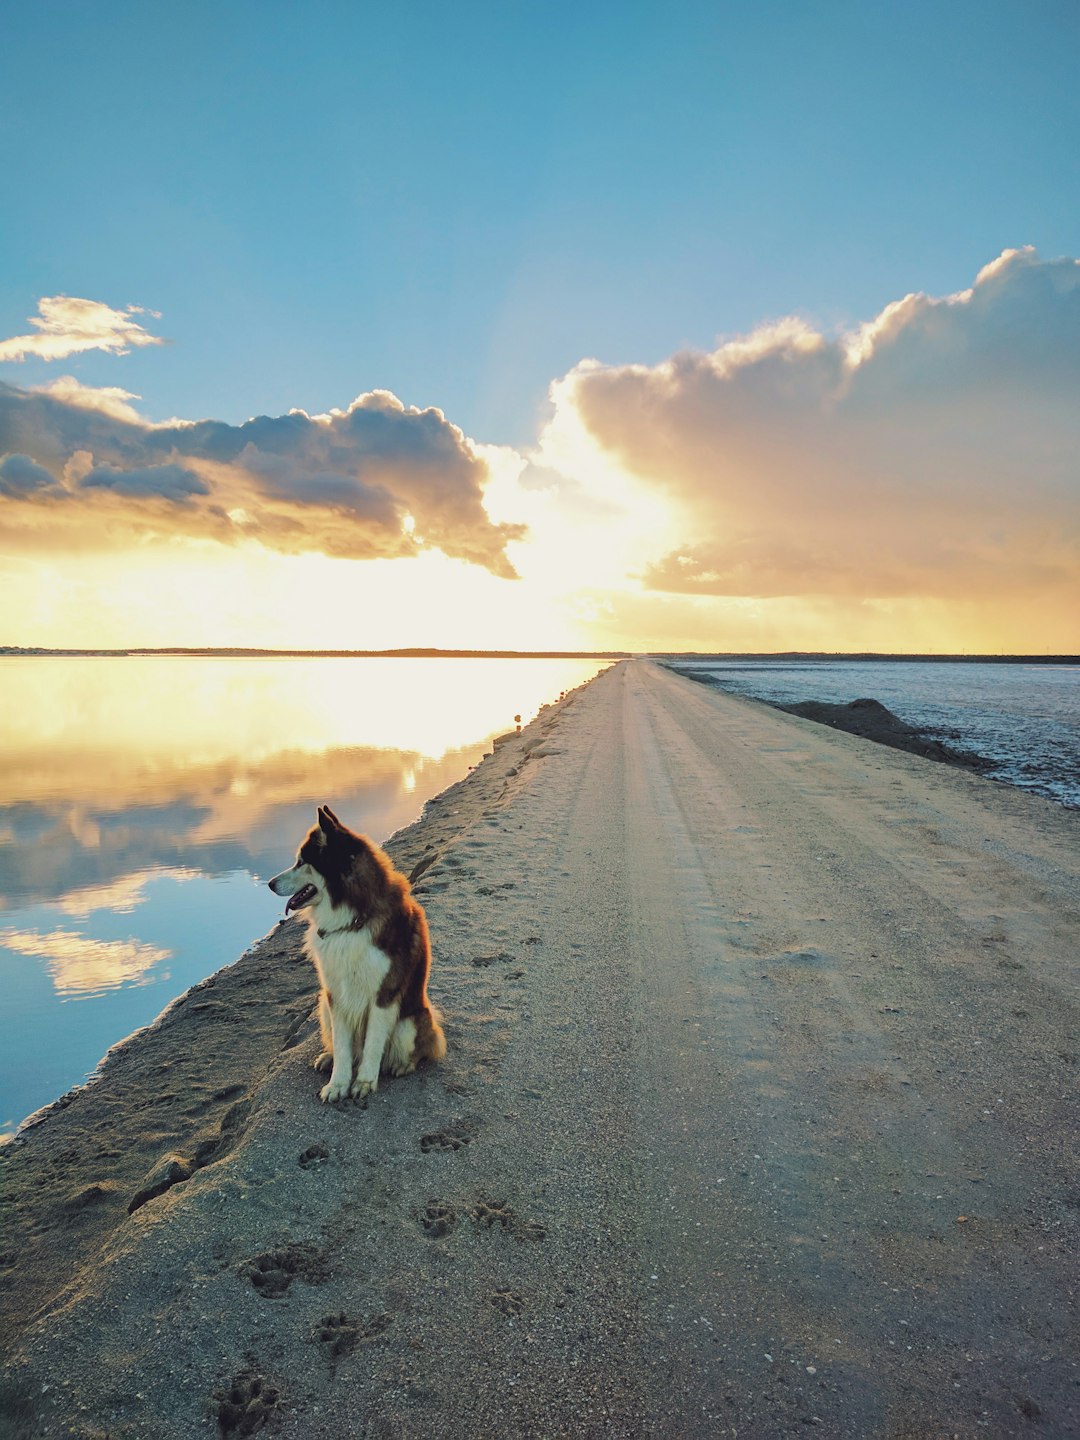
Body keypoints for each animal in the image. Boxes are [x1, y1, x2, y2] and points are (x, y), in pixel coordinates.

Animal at [270, 800, 449, 1100]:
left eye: (302, 862)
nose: (270, 884)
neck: (352, 920)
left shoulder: (383, 995)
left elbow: (372, 1045)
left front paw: (364, 1081)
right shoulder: (336, 994)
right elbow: (344, 1047)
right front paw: (338, 1084)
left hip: (409, 1022)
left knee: (419, 1050)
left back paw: (402, 1065)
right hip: (323, 1004)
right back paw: (328, 1057)